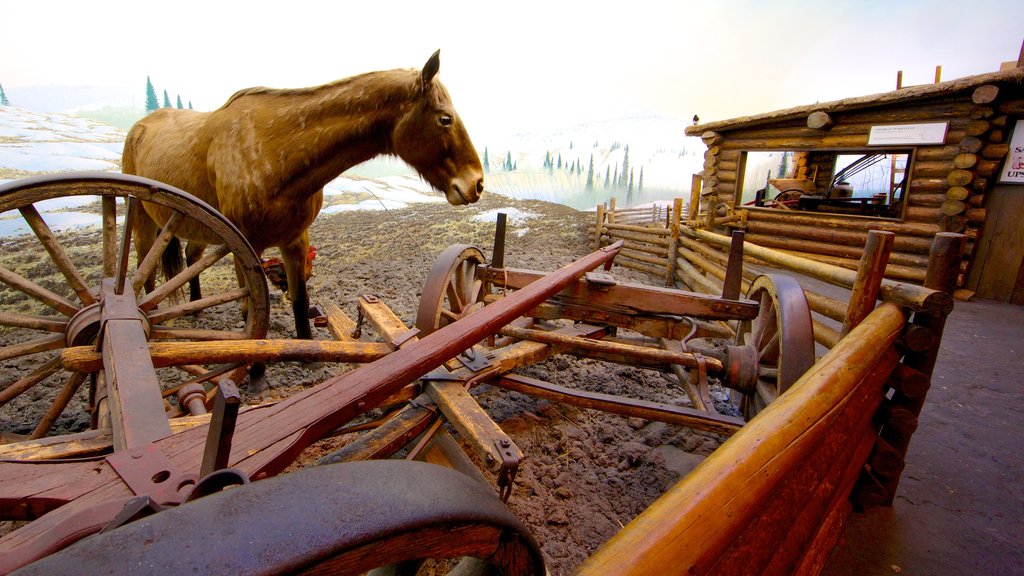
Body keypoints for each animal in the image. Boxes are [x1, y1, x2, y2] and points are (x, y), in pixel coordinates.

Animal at [123, 51, 483, 338]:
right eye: (445, 118)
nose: (476, 183)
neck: (270, 152)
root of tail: (140, 126)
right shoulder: (245, 245)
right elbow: (252, 306)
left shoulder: (295, 240)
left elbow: (300, 301)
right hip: (145, 220)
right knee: (146, 272)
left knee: (190, 255)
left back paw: (196, 308)